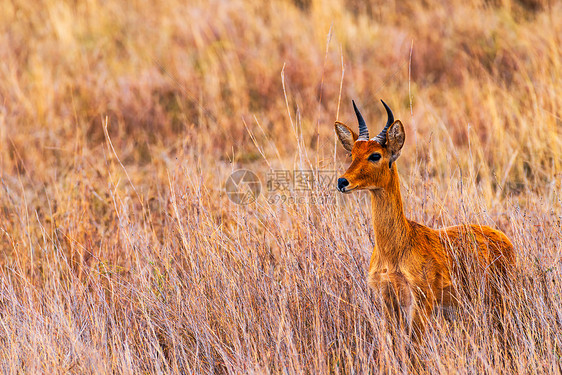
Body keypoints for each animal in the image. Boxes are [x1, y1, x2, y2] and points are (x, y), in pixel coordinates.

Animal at [334, 100, 516, 340]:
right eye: (352, 153)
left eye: (375, 155)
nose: (342, 181)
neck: (394, 250)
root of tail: (504, 238)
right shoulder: (388, 301)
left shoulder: (421, 303)